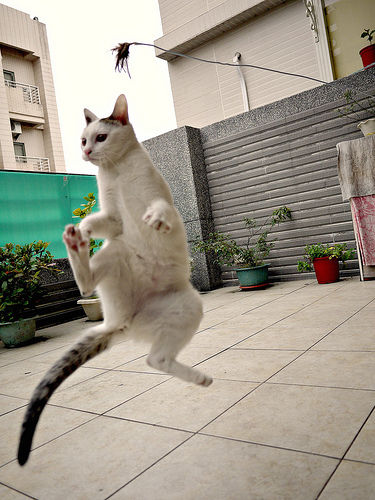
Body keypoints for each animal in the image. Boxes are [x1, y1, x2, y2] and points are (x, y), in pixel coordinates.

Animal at [17, 95, 213, 466]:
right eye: (83, 139)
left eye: (101, 137)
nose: (87, 152)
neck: (118, 170)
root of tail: (122, 321)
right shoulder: (112, 219)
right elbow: (100, 220)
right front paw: (83, 227)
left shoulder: (162, 196)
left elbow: (161, 207)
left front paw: (155, 219)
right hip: (116, 252)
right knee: (87, 287)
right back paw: (75, 243)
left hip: (187, 305)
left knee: (155, 359)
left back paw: (198, 377)